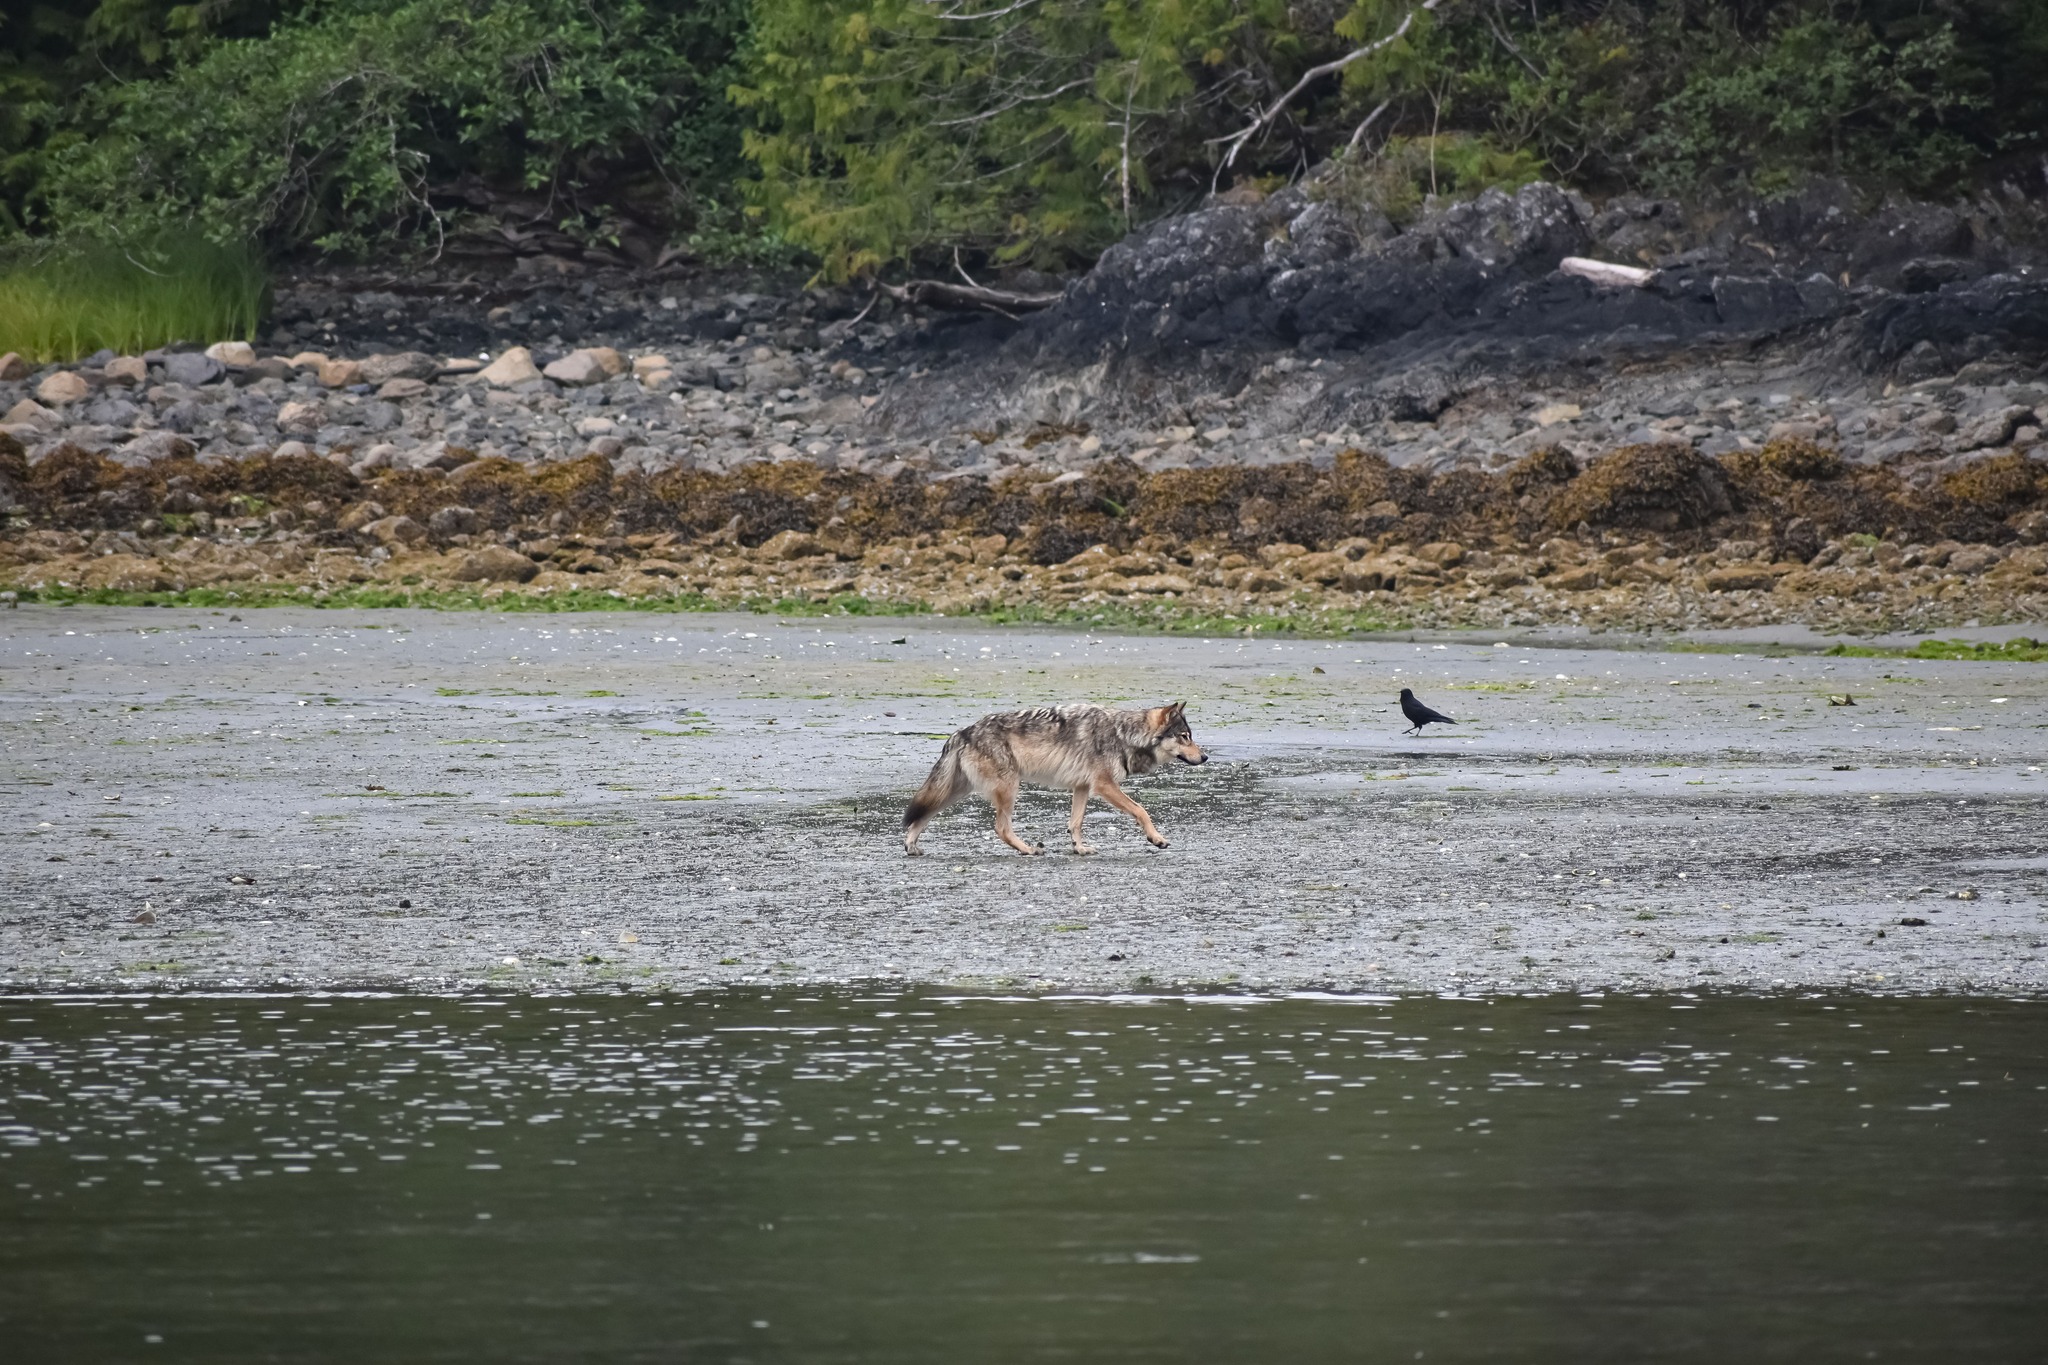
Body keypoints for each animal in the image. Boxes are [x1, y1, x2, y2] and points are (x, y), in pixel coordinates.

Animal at [905, 703, 1204, 855]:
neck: (1123, 734)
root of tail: (962, 732)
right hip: (1009, 789)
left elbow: (1075, 823)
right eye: (1184, 737)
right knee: (1001, 828)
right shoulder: (1104, 786)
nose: (1205, 757)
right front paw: (1157, 839)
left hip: (957, 791)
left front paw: (1079, 848)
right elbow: (1141, 810)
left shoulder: (1082, 787)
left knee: (921, 815)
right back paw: (1028, 850)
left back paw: (911, 846)